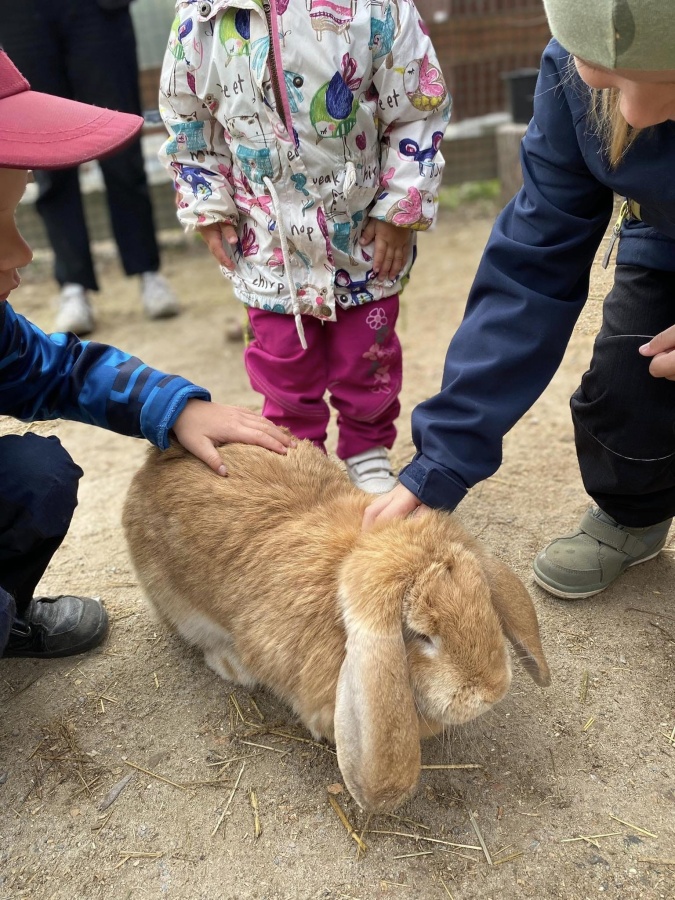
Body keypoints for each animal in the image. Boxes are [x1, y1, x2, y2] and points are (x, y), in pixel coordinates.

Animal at [122, 439, 550, 813]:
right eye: (424, 636)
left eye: (485, 605)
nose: (492, 692)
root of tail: (158, 458)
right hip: (179, 604)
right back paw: (233, 666)